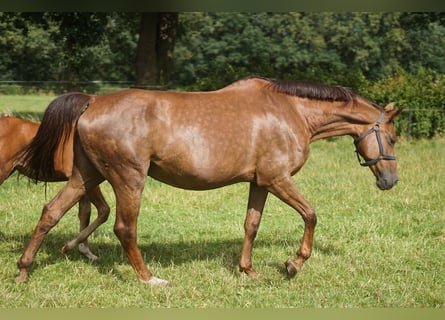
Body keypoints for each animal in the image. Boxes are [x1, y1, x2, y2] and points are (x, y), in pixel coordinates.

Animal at [0, 115, 109, 260]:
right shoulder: (86, 181)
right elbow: (104, 210)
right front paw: (68, 247)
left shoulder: (82, 185)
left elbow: (85, 213)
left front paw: (85, 252)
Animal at [14, 77, 402, 284]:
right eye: (394, 138)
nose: (390, 181)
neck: (291, 112)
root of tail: (93, 100)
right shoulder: (277, 179)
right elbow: (310, 214)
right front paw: (293, 264)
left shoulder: (260, 182)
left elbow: (251, 224)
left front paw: (248, 270)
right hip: (128, 179)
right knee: (124, 228)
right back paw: (149, 279)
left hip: (86, 176)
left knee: (50, 213)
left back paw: (24, 270)